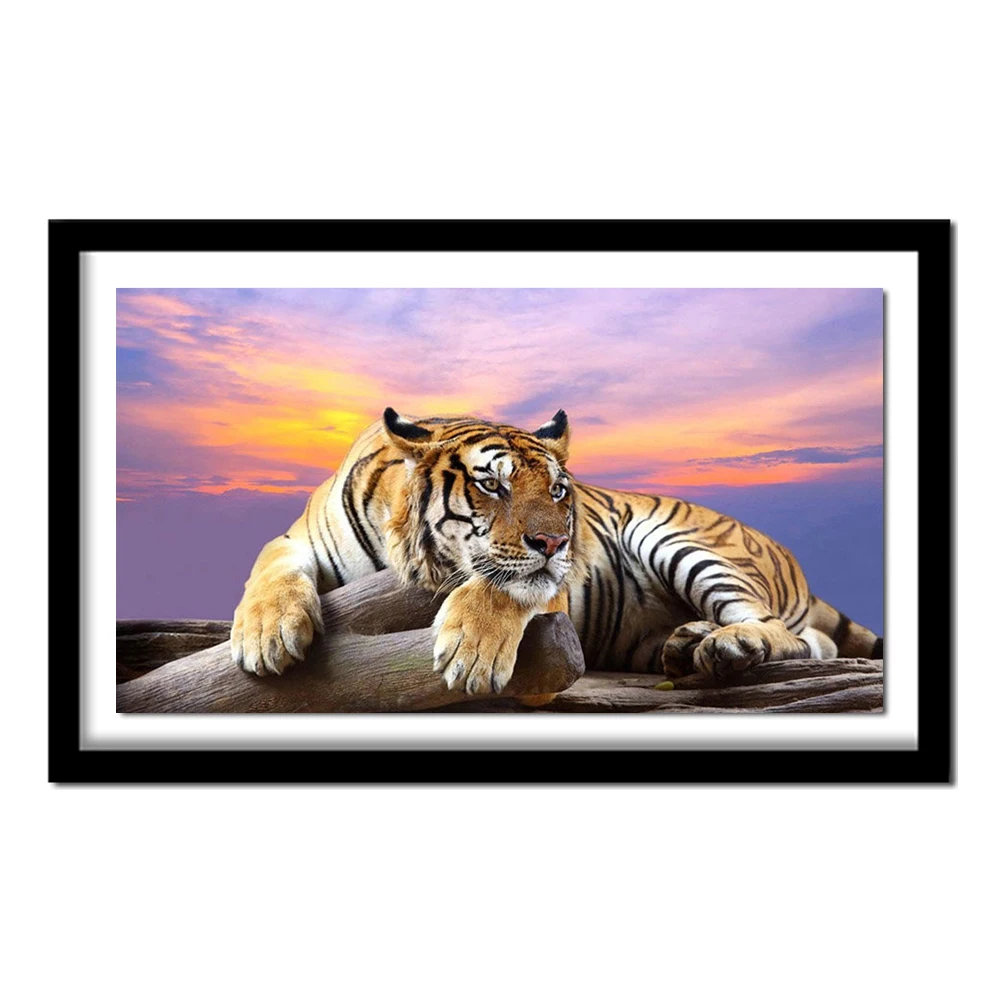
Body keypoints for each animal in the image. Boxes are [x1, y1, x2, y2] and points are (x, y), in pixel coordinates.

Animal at [230, 408, 883, 695]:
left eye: (558, 491)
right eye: (491, 484)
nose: (556, 541)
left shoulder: (547, 583)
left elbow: (503, 586)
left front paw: (470, 655)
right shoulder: (296, 539)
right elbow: (268, 569)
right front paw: (266, 636)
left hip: (680, 541)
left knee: (787, 634)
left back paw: (726, 646)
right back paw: (687, 644)